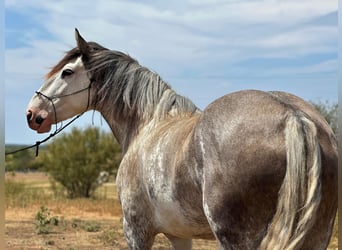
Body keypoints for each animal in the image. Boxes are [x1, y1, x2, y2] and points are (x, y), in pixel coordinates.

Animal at [26, 29, 336, 250]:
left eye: (67, 72)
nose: (33, 114)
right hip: (315, 236)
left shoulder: (136, 231)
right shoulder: (179, 236)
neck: (148, 123)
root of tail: (293, 116)